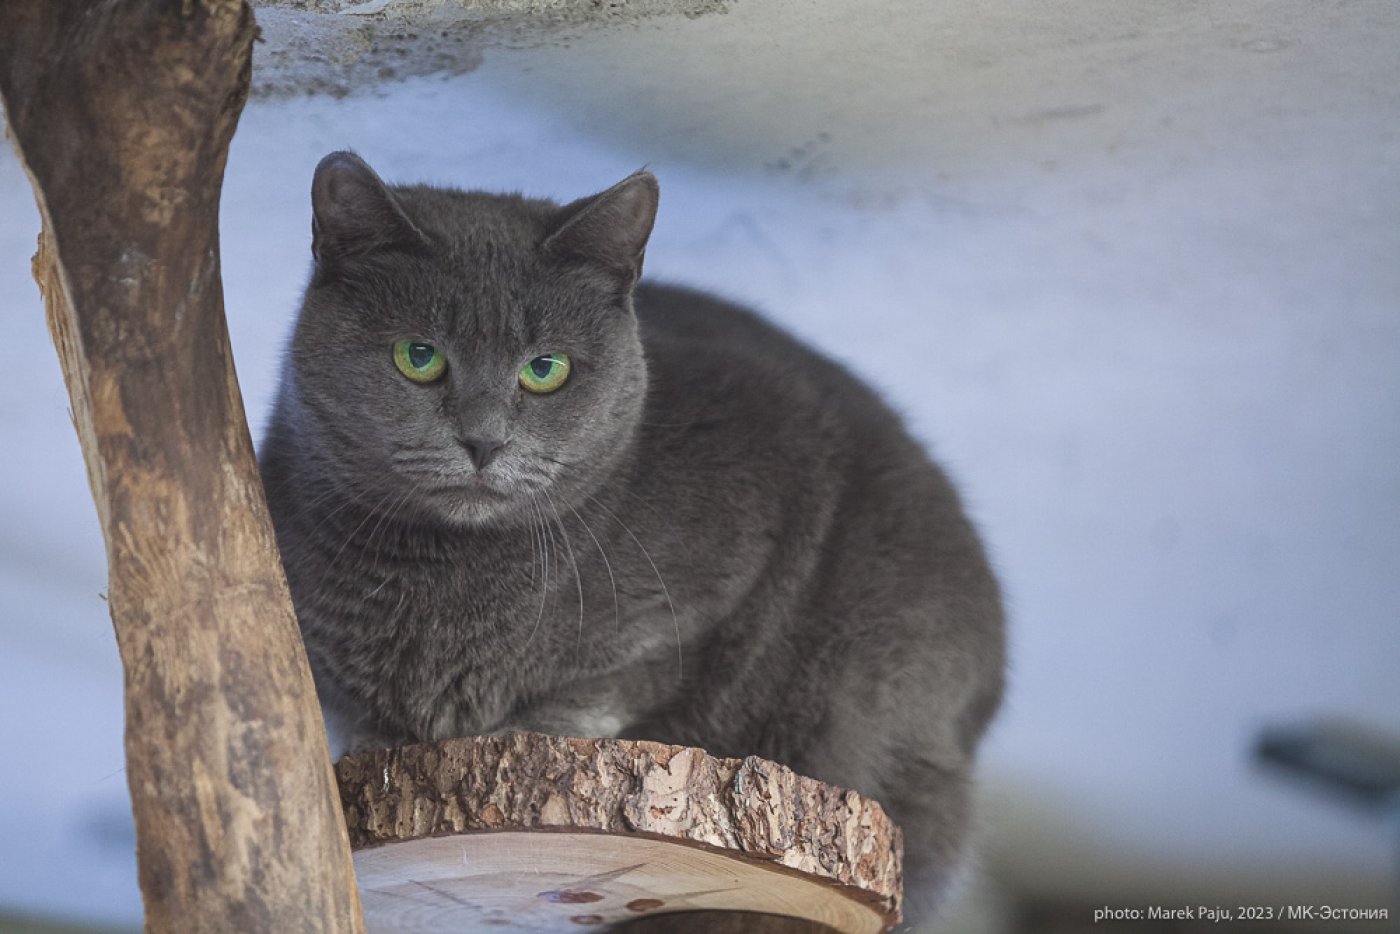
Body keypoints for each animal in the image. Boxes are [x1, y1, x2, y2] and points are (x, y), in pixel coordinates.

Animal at [260, 151, 1008, 918]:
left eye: (545, 369)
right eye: (419, 356)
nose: (483, 441)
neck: (439, 576)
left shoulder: (759, 511)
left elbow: (636, 671)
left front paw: (534, 726)